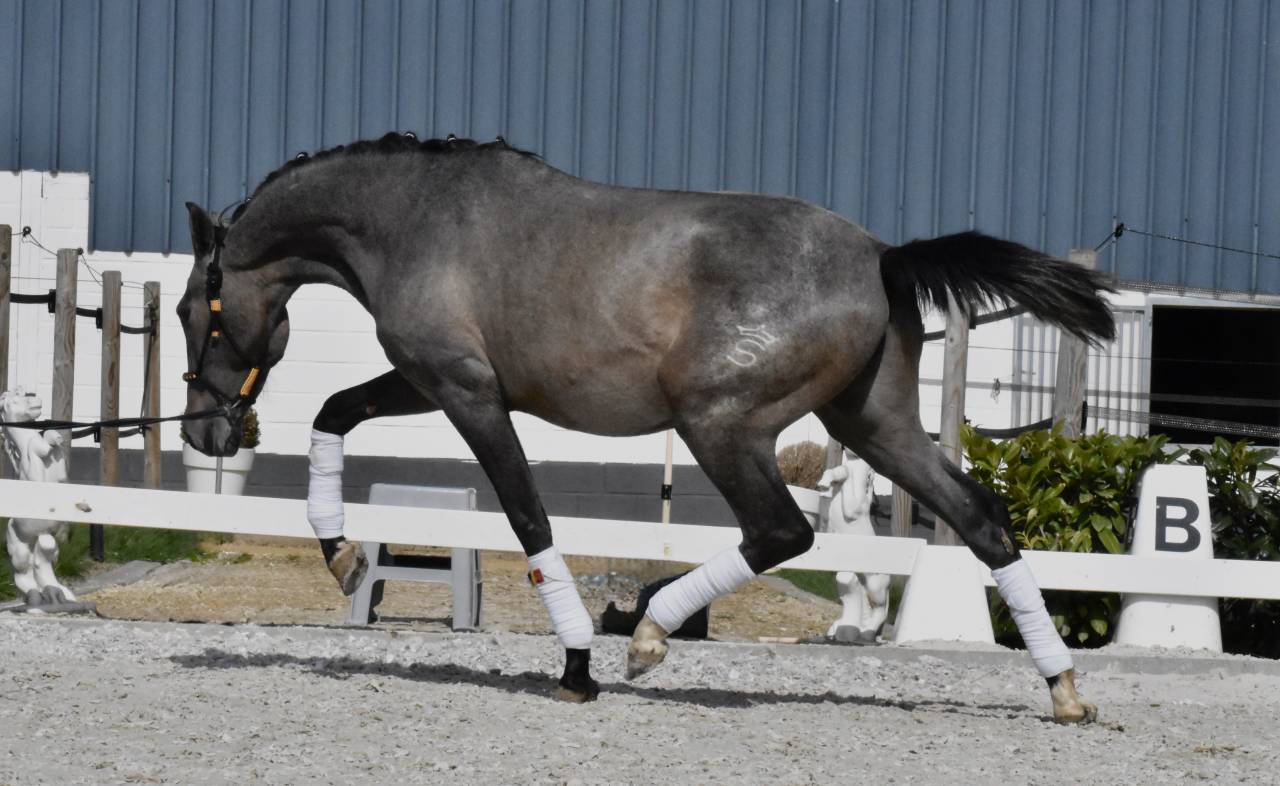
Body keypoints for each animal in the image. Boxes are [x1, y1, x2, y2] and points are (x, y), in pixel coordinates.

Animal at [178, 133, 1112, 723]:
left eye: (194, 311)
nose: (202, 434)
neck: (412, 221)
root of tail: (882, 257)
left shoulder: (468, 393)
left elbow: (529, 519)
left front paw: (577, 667)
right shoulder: (423, 381)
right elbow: (334, 413)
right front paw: (340, 555)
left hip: (719, 424)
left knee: (782, 530)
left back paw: (652, 632)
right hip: (876, 426)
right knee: (983, 519)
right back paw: (1064, 691)